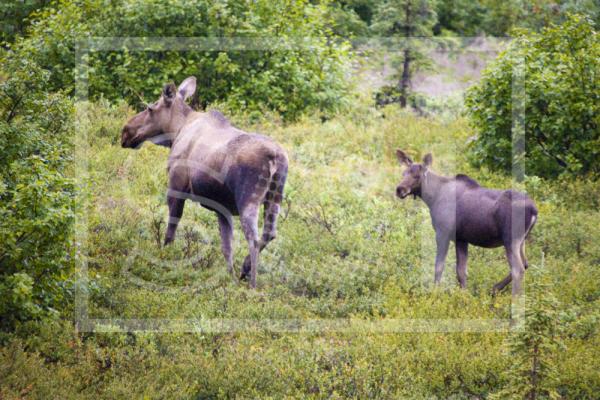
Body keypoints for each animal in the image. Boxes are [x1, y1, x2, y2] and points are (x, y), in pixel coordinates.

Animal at [120, 76, 288, 288]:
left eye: (150, 108)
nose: (125, 131)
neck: (177, 130)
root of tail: (275, 157)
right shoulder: (221, 208)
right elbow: (226, 245)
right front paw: (229, 276)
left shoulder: (176, 186)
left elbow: (171, 229)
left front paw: (165, 255)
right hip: (275, 196)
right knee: (269, 233)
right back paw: (244, 271)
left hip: (248, 198)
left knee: (254, 238)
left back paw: (252, 283)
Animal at [394, 150, 540, 296]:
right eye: (403, 173)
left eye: (417, 176)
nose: (400, 189)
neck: (432, 198)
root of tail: (534, 210)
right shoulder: (461, 239)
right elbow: (461, 272)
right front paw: (463, 296)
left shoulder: (443, 233)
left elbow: (439, 266)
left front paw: (435, 293)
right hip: (521, 240)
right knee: (525, 264)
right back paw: (495, 289)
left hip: (510, 239)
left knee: (518, 269)